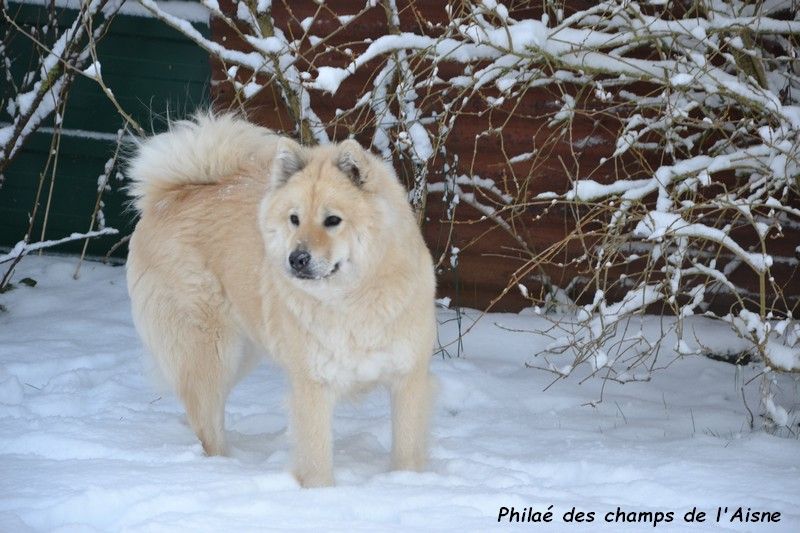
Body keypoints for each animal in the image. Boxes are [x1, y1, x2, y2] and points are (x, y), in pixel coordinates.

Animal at [126, 113, 438, 486]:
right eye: (294, 219)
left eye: (333, 220)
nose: (297, 259)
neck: (351, 300)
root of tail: (168, 195)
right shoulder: (313, 385)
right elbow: (317, 459)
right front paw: (320, 494)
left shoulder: (408, 379)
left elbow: (406, 452)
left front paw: (405, 484)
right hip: (211, 352)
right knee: (208, 423)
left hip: (239, 354)